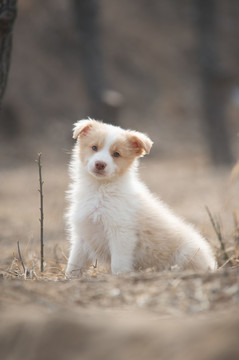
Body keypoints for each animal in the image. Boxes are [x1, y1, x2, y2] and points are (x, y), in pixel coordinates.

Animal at [65, 119, 217, 276]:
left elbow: (118, 264)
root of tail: (212, 263)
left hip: (187, 253)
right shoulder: (82, 234)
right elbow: (74, 262)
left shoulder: (121, 233)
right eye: (94, 147)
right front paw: (70, 277)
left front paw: (119, 276)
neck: (99, 189)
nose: (100, 164)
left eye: (116, 154)